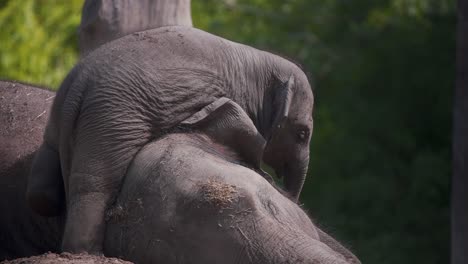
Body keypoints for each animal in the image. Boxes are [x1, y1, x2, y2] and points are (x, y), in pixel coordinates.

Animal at [28, 25, 314, 254]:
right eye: (303, 133)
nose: (290, 195)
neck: (261, 62)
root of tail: (78, 88)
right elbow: (239, 123)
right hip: (111, 122)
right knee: (94, 185)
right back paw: (84, 252)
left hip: (59, 126)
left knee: (42, 193)